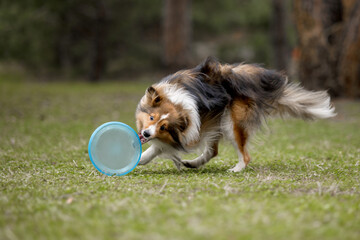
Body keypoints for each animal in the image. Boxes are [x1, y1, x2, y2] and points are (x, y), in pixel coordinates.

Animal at [134, 57, 334, 172]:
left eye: (164, 127)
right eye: (151, 118)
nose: (145, 133)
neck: (177, 102)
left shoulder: (189, 132)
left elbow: (159, 147)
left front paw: (141, 158)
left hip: (232, 123)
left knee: (244, 155)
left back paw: (236, 169)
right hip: (216, 121)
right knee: (212, 151)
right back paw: (194, 163)